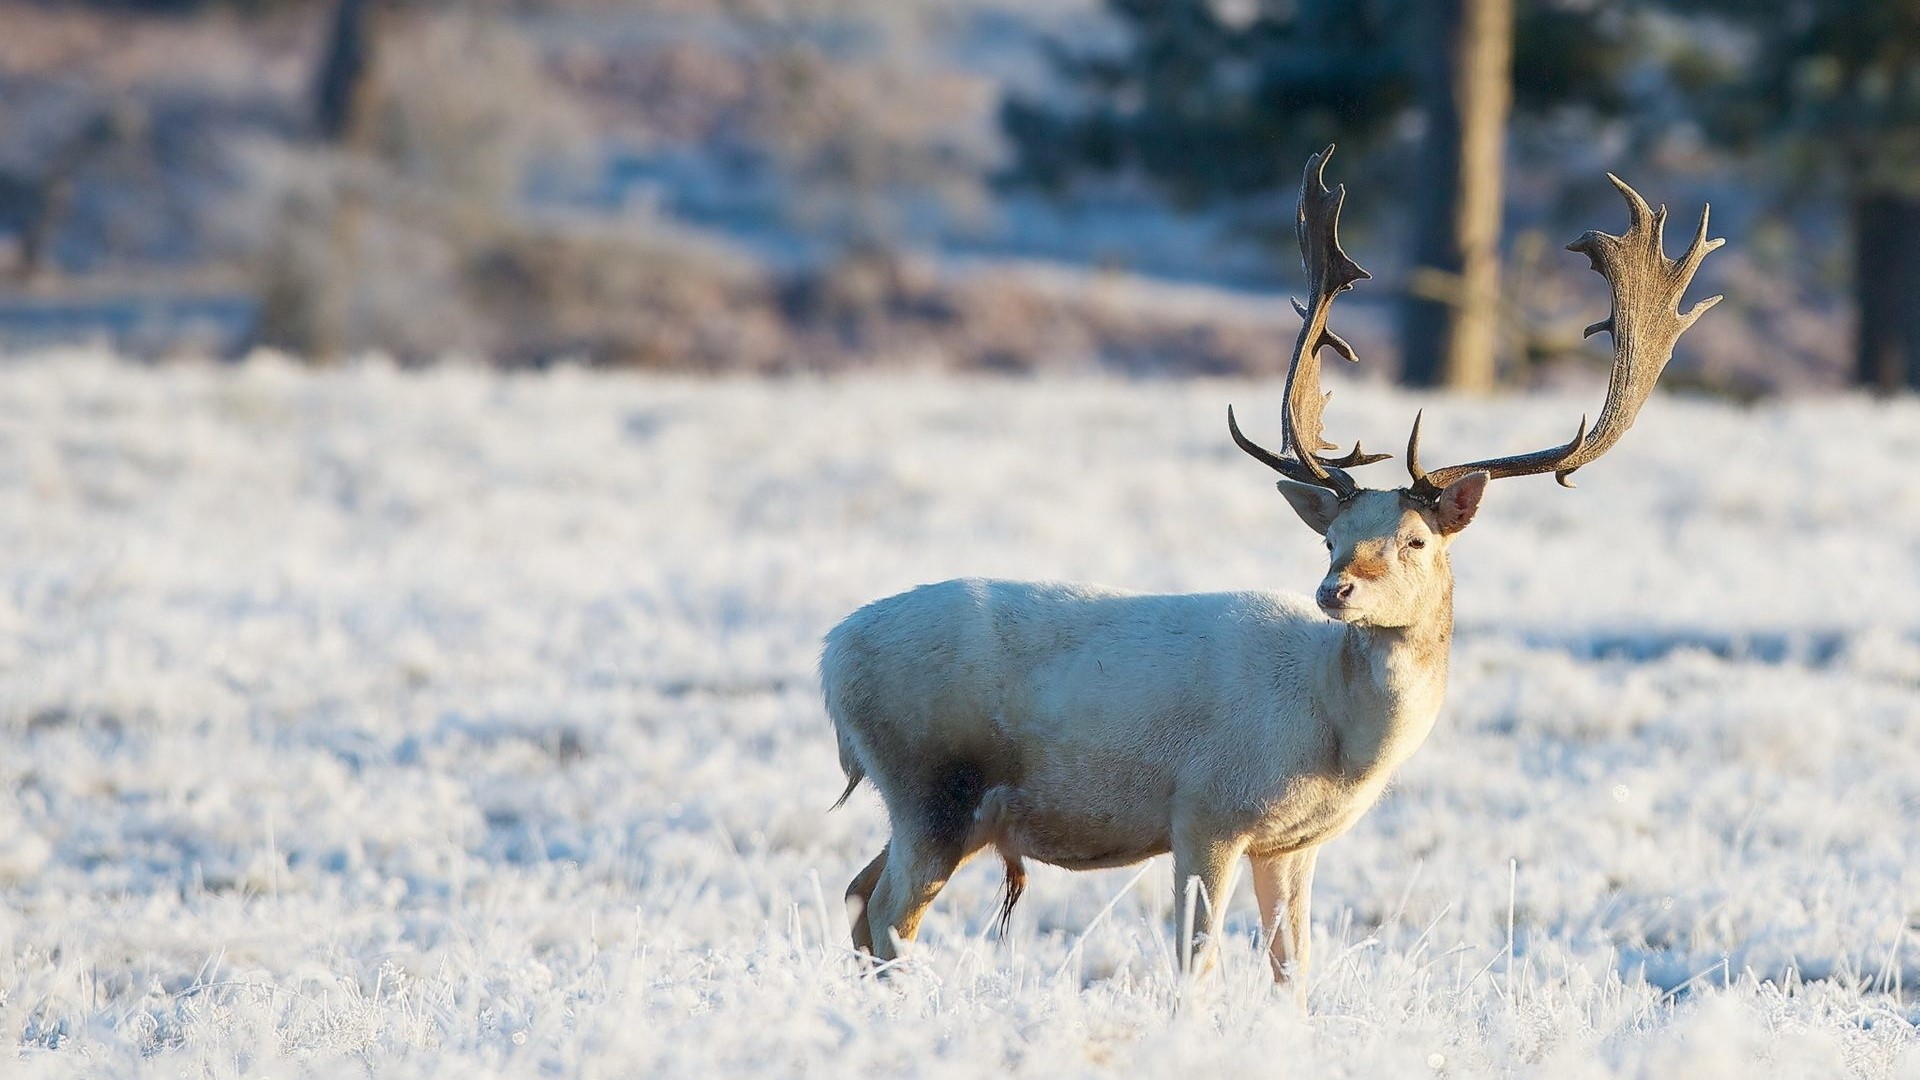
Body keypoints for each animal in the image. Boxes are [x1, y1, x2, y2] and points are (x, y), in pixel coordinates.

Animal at [819, 146, 1723, 1004]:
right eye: (1333, 541)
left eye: (1415, 540)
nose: (1336, 591)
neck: (1339, 740)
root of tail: (831, 658)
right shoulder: (1206, 810)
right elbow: (1199, 961)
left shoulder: (1295, 842)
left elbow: (1294, 968)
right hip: (933, 782)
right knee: (888, 913)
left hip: (933, 804)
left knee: (858, 897)